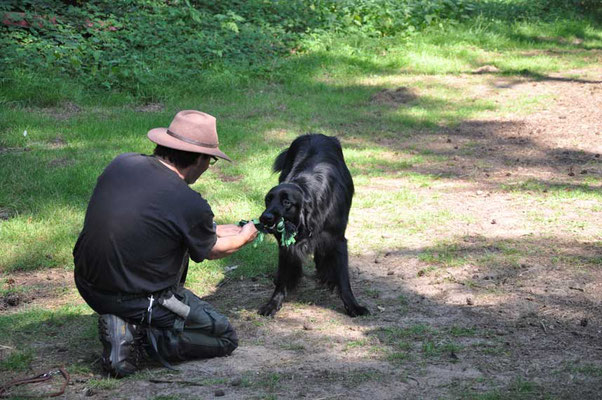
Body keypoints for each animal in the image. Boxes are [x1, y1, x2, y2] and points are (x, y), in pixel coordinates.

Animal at [256, 134, 368, 318]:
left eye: (286, 202)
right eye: (268, 200)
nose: (265, 218)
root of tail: (314, 134)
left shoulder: (337, 239)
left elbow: (343, 279)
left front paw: (353, 306)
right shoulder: (285, 245)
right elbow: (283, 277)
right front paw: (273, 303)